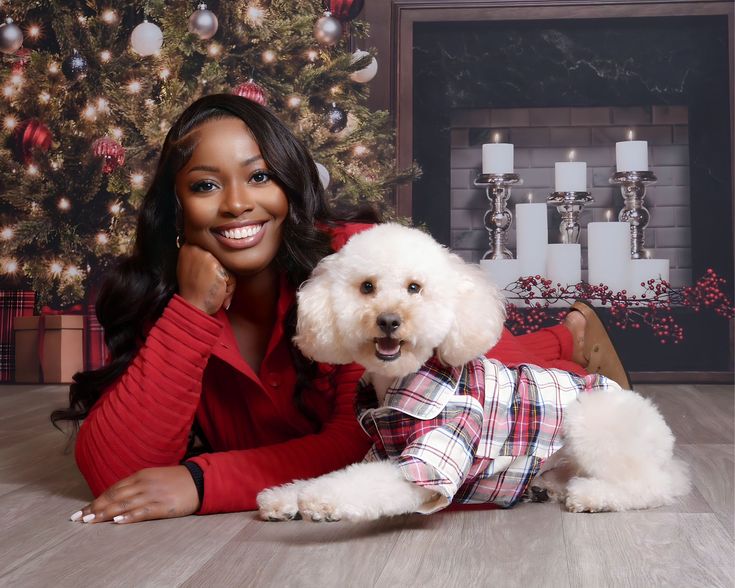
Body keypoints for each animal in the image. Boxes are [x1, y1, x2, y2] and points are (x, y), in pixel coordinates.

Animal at [254, 223, 688, 520]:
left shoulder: (434, 457)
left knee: (655, 485)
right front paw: (284, 496)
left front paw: (319, 499)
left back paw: (591, 496)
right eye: (366, 287)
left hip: (593, 422)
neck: (401, 383)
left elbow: (363, 485)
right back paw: (547, 488)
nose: (389, 320)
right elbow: (339, 474)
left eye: (415, 287)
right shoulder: (381, 449)